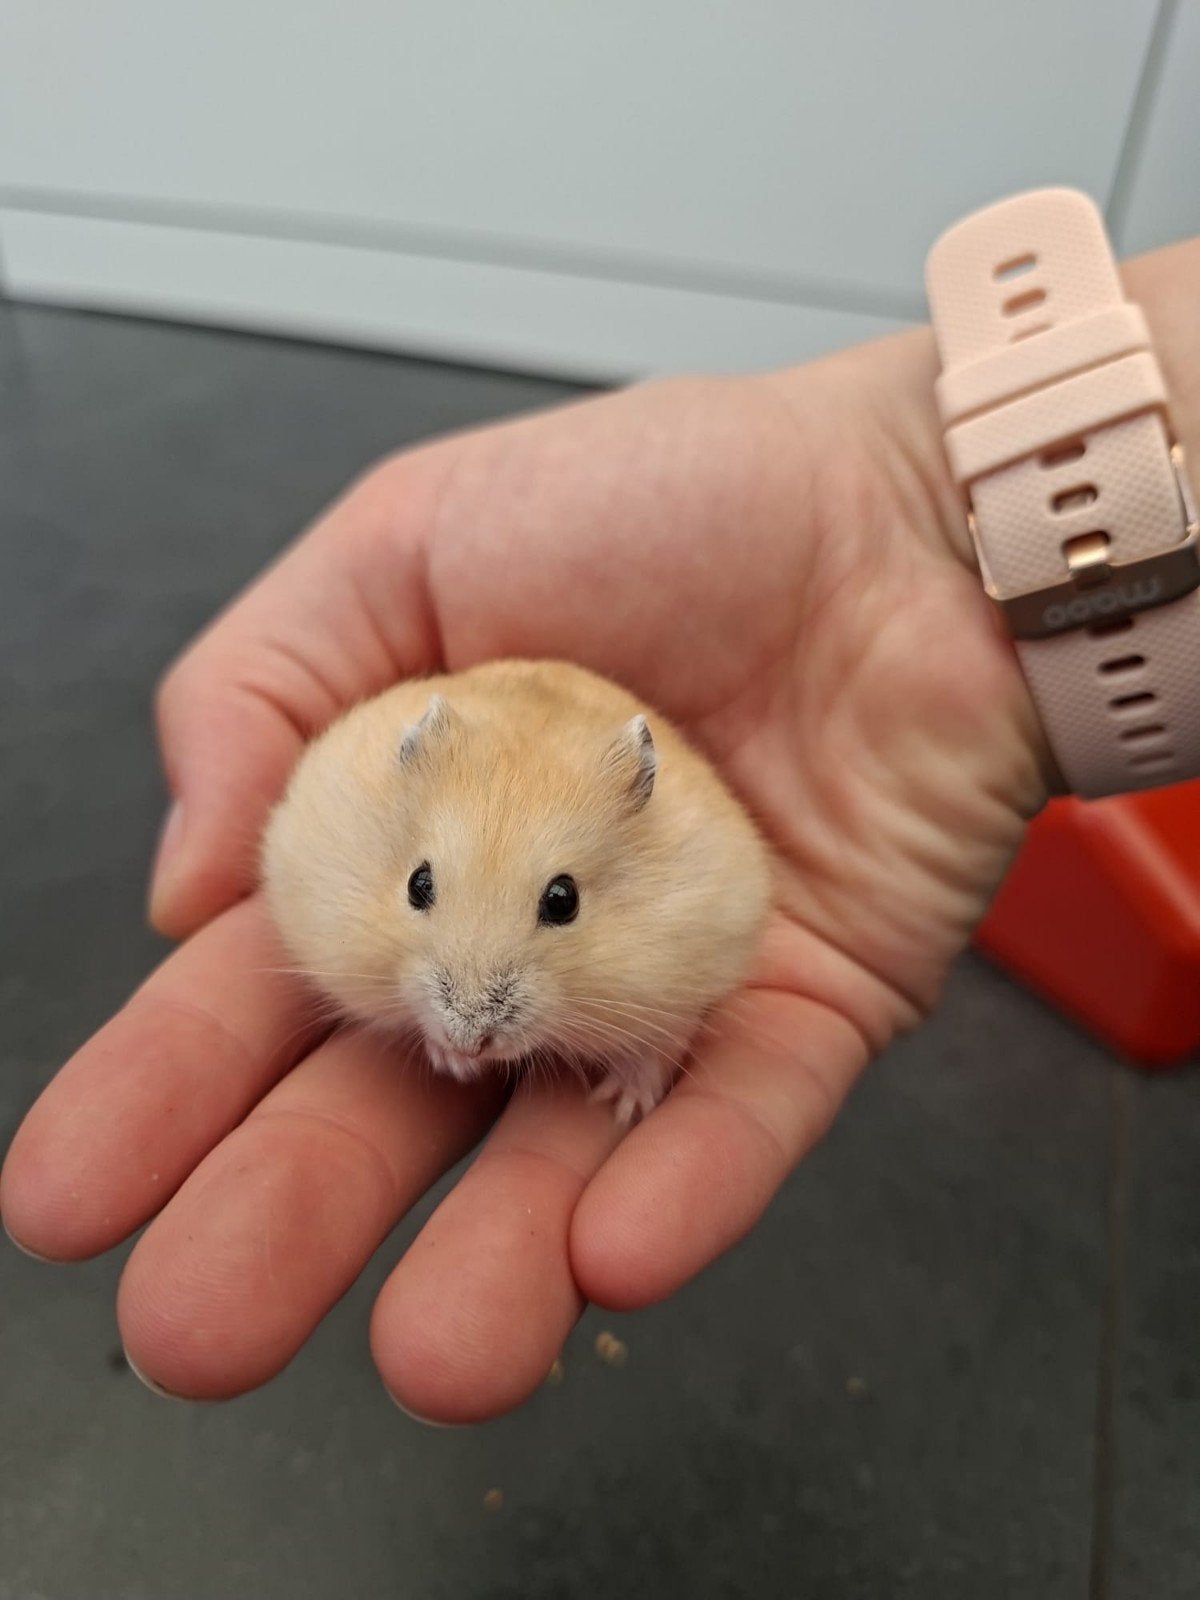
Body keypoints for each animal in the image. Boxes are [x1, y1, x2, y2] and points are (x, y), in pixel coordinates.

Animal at [261, 659, 770, 1124]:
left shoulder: (683, 977)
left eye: (564, 900)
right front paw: (456, 1066)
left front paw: (620, 1107)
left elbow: (660, 1047)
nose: (470, 1041)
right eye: (417, 884)